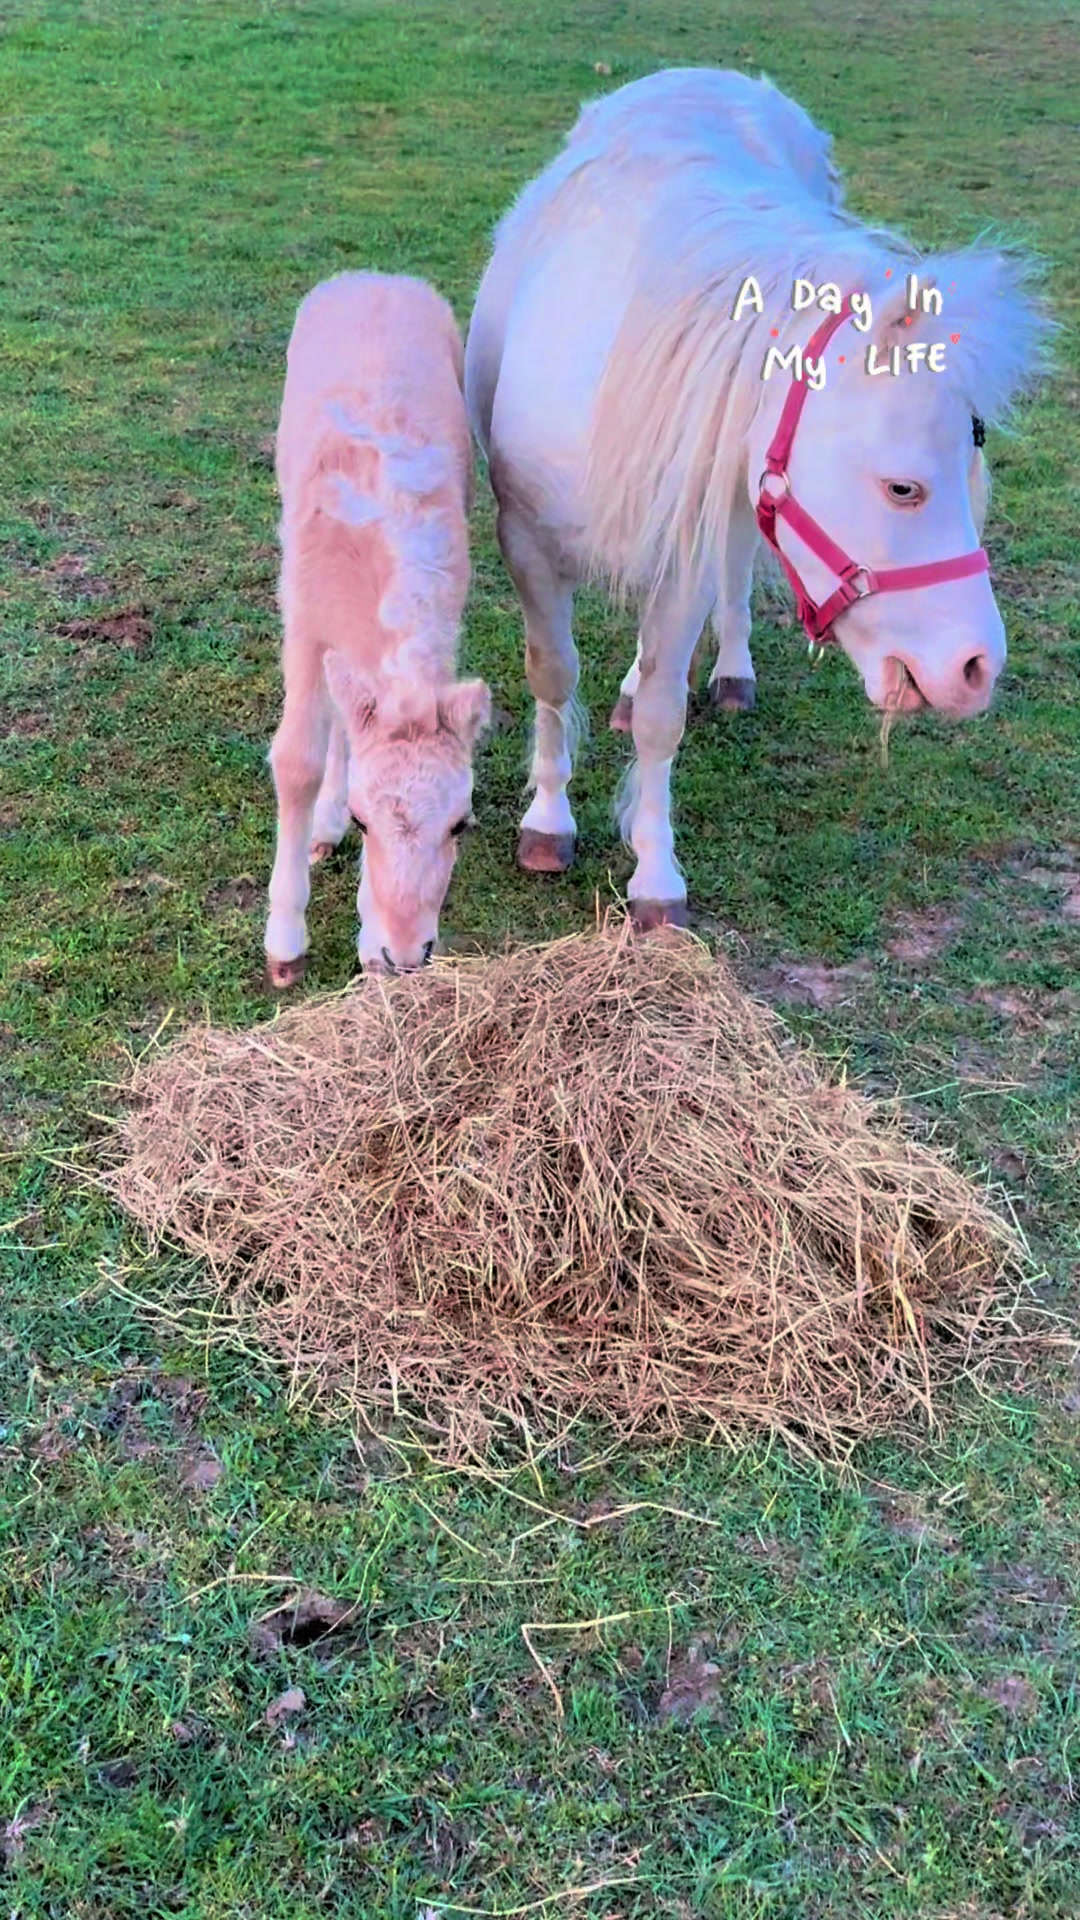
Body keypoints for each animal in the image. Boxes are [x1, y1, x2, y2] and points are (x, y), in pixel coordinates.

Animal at [265, 272, 491, 986]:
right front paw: (285, 945)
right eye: (367, 823)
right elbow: (297, 760)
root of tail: (378, 276)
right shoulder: (303, 620)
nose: (405, 955)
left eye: (461, 824)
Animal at [464, 68, 1050, 928]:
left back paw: (727, 673)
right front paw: (546, 822)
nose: (977, 669)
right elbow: (552, 674)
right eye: (904, 487)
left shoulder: (687, 549)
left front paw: (655, 874)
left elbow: (663, 715)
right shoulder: (528, 543)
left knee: (734, 568)